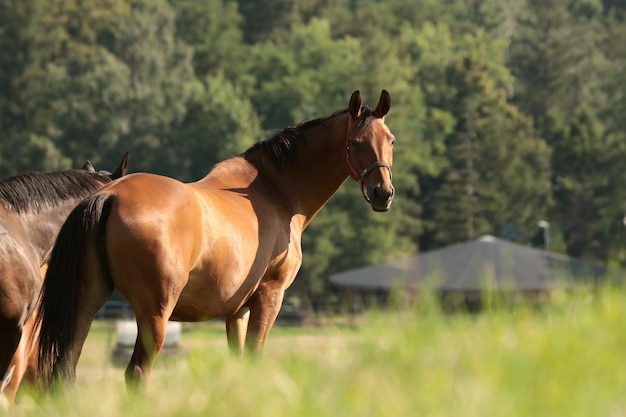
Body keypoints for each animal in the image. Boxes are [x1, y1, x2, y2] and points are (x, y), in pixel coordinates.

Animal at [34, 88, 392, 390]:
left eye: (391, 140)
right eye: (356, 141)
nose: (383, 193)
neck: (274, 191)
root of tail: (109, 196)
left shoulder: (238, 311)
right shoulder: (269, 297)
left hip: (86, 303)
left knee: (65, 368)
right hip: (154, 315)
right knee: (136, 373)